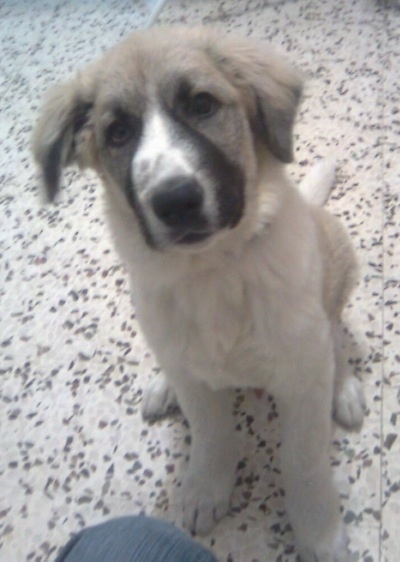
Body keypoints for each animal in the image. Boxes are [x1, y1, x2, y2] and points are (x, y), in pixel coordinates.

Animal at [33, 27, 366, 560]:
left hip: (338, 259)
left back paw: (344, 384)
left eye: (202, 104)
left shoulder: (300, 377)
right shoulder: (195, 379)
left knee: (333, 332)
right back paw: (165, 385)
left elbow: (304, 461)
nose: (174, 201)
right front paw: (206, 488)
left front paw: (319, 533)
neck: (213, 269)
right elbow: (211, 436)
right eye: (118, 133)